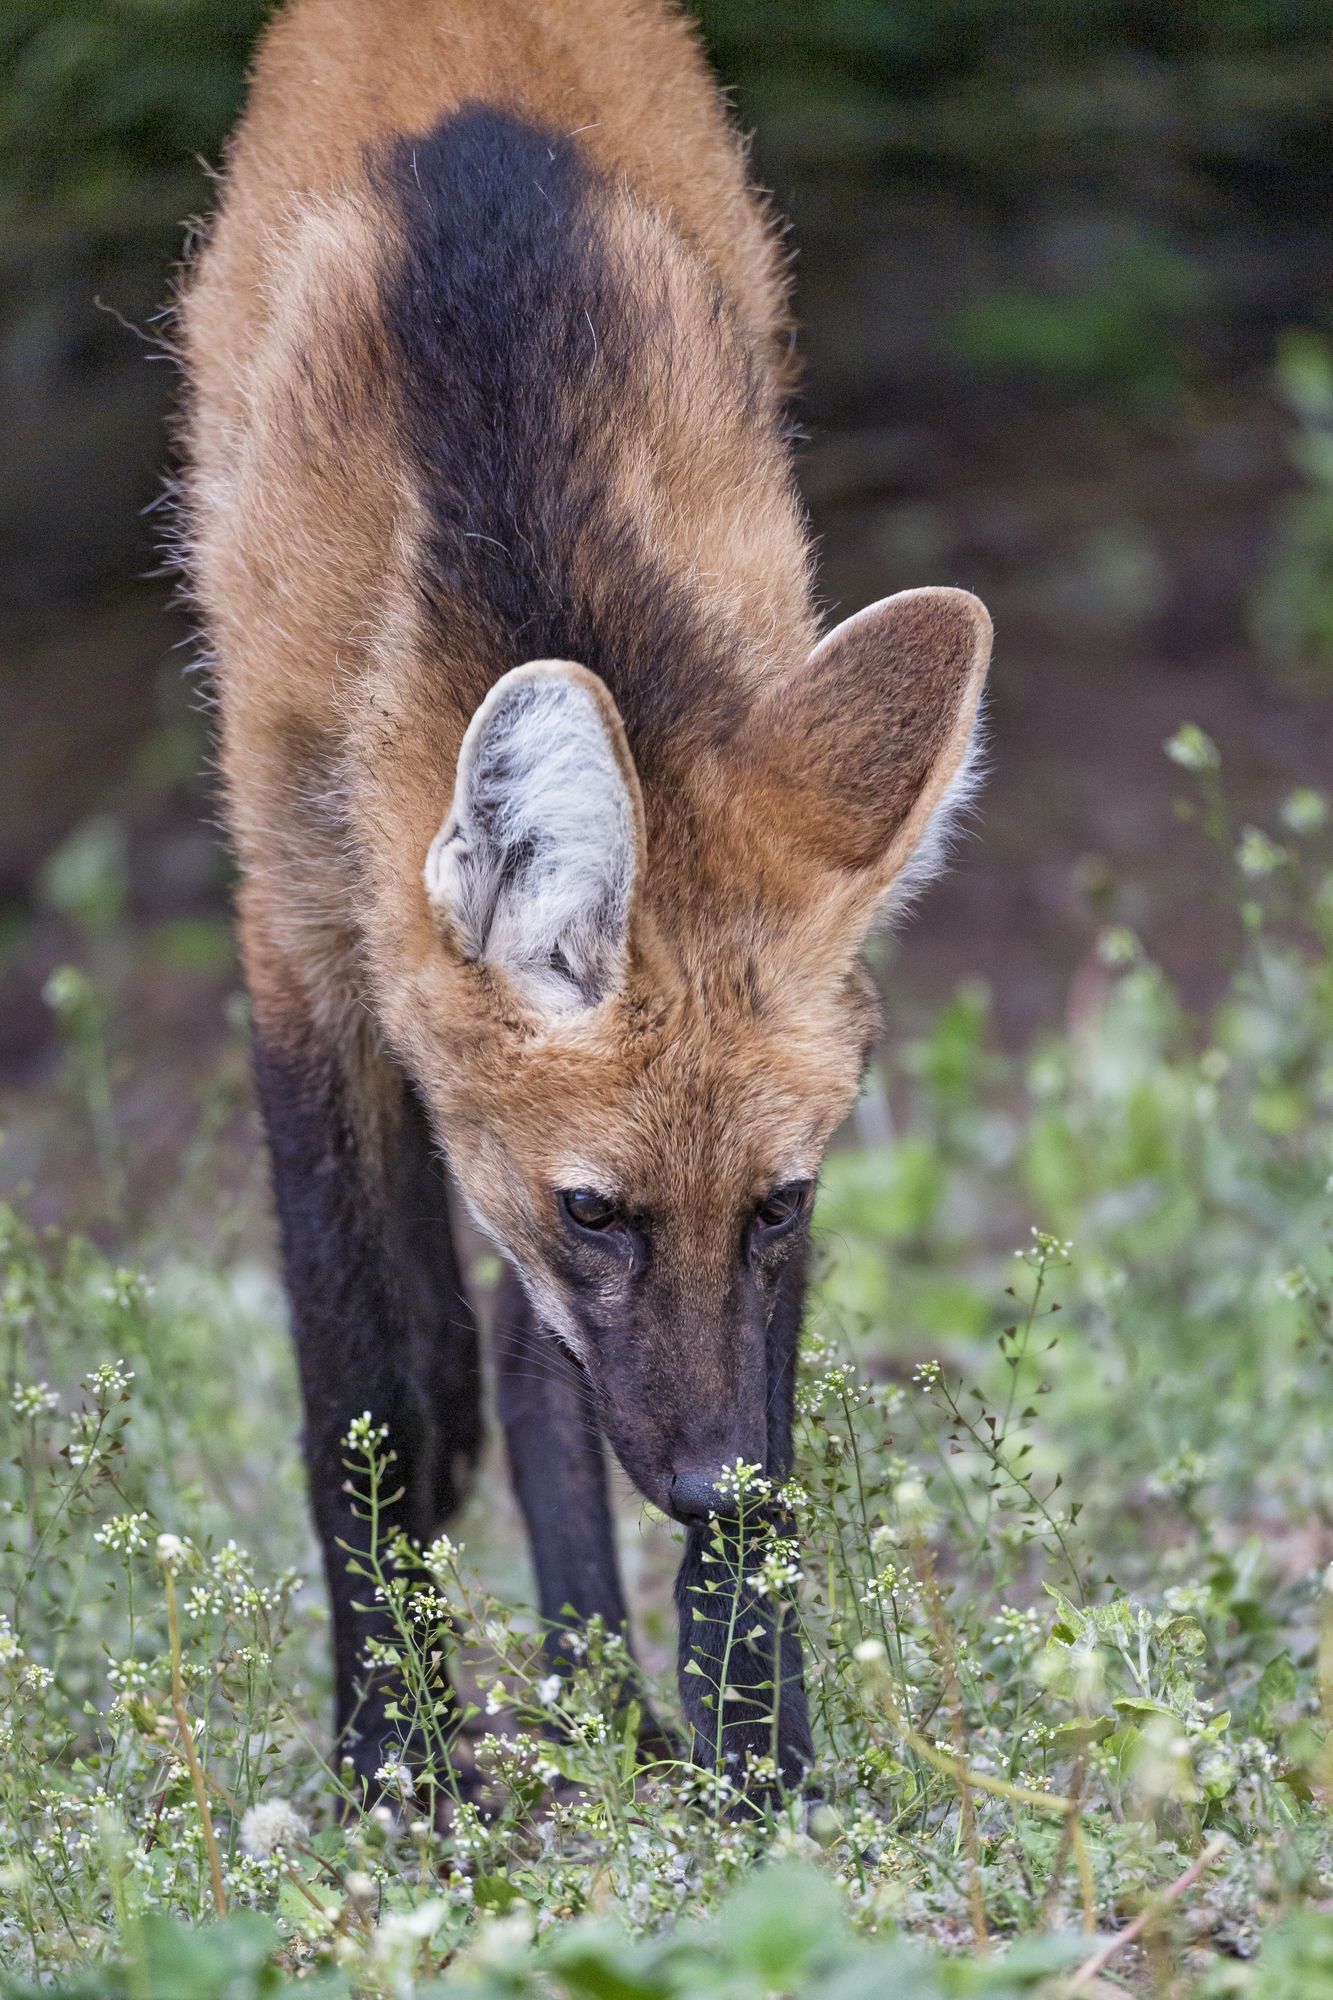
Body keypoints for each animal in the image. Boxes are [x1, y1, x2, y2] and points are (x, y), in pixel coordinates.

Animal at [179, 0, 984, 1800]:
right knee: (449, 1349)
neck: (505, 511)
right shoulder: (298, 937)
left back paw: (601, 1698)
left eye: (774, 1207)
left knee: (531, 1366)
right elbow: (369, 1395)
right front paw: (398, 1765)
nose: (691, 1481)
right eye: (594, 1210)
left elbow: (716, 1431)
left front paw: (760, 1752)